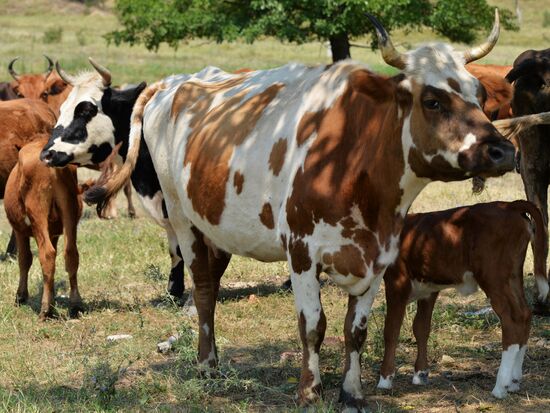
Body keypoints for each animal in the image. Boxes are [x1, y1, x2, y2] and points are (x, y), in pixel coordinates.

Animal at [3, 138, 83, 318]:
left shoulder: (19, 231)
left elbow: (24, 259)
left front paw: (20, 296)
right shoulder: (55, 233)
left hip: (37, 214)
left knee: (47, 254)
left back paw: (46, 309)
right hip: (70, 212)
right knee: (71, 254)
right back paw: (75, 305)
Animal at [380, 200, 548, 400]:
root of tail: (509, 205)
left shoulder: (396, 282)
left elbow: (391, 330)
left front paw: (385, 379)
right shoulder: (429, 289)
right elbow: (421, 328)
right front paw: (420, 374)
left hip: (493, 276)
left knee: (511, 319)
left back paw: (500, 387)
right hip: (513, 276)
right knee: (524, 314)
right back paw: (514, 381)